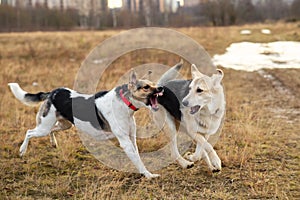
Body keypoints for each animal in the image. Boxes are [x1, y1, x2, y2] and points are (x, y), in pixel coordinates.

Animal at [9, 70, 163, 178]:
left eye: (154, 84)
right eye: (146, 87)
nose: (161, 88)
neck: (125, 103)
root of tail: (52, 92)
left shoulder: (132, 138)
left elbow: (137, 156)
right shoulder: (125, 141)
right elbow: (137, 160)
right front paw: (148, 175)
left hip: (64, 125)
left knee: (52, 130)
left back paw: (53, 143)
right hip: (43, 127)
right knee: (29, 132)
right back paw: (22, 150)